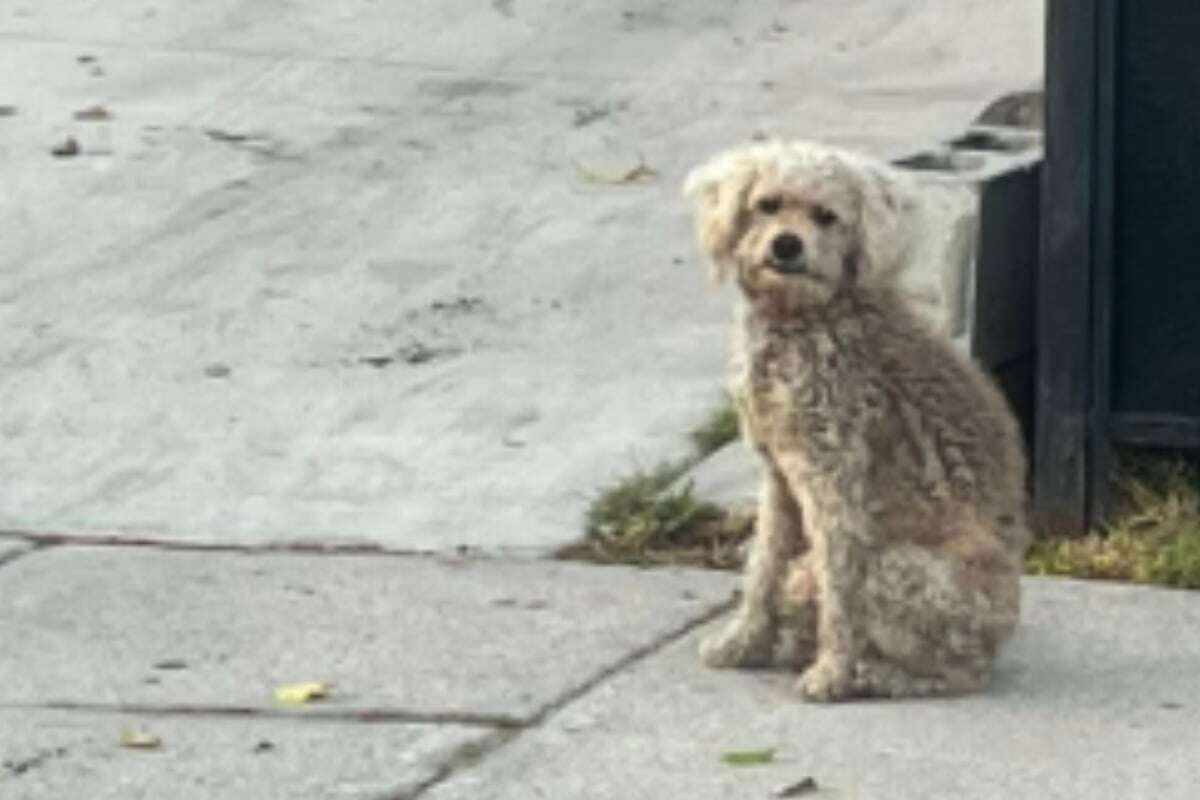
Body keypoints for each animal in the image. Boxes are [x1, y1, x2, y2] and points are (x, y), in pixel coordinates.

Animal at [686, 142, 1032, 700]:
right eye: (767, 205)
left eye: (827, 216)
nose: (787, 244)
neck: (802, 320)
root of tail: (1000, 634)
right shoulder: (780, 477)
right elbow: (763, 567)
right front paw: (742, 643)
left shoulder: (836, 482)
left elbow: (840, 591)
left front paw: (831, 673)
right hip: (816, 572)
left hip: (900, 571)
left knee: (957, 674)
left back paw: (875, 674)